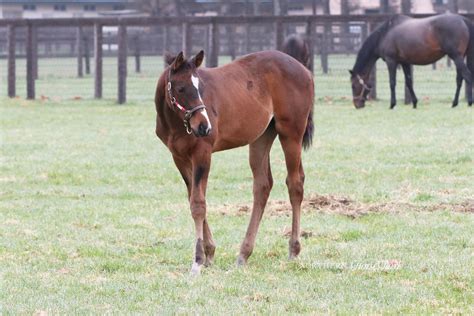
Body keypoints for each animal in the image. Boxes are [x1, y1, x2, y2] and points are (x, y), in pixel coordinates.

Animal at [154, 49, 312, 274]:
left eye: (200, 88)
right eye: (181, 88)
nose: (204, 126)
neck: (176, 123)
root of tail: (305, 70)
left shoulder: (203, 153)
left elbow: (198, 203)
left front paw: (198, 260)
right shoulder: (179, 157)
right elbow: (193, 197)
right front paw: (209, 253)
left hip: (291, 133)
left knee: (295, 184)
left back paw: (293, 249)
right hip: (261, 137)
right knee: (263, 185)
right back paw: (244, 254)